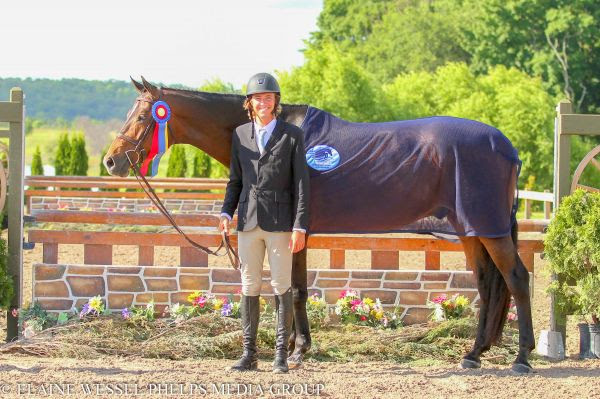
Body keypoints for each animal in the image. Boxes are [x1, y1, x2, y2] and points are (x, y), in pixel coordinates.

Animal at [102, 78, 536, 376]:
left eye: (143, 115)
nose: (111, 161)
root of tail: (507, 147)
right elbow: (294, 289)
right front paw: (298, 346)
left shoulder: (295, 231)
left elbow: (293, 290)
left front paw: (296, 351)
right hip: (472, 231)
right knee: (488, 284)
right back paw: (474, 354)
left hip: (490, 230)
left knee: (516, 277)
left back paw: (522, 357)